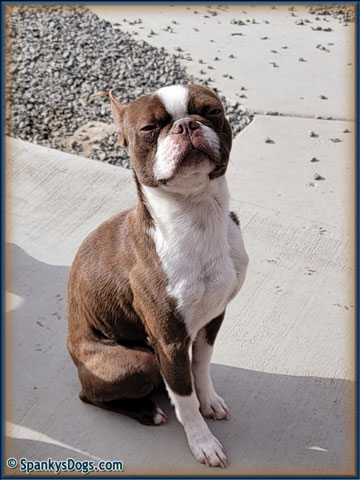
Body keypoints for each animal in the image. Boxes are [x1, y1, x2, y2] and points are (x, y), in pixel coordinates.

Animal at [66, 84, 249, 466]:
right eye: (149, 128)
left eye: (212, 111)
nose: (187, 125)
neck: (197, 216)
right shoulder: (169, 341)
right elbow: (184, 397)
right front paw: (202, 442)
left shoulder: (214, 317)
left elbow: (202, 366)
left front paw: (209, 399)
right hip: (139, 360)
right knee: (90, 396)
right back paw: (147, 411)